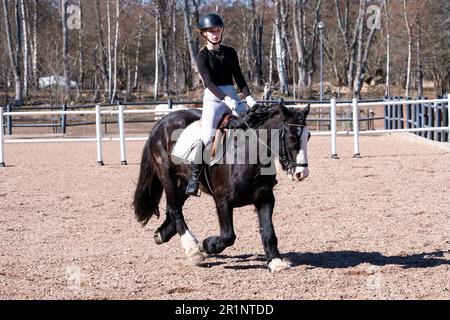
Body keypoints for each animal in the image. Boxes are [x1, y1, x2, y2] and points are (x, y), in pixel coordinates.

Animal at [132, 104, 312, 272]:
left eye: (308, 136)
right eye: (292, 136)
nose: (301, 173)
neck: (248, 156)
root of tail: (161, 122)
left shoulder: (265, 198)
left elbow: (269, 232)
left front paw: (276, 262)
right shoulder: (222, 200)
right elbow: (228, 236)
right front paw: (207, 245)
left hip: (184, 182)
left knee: (174, 207)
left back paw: (162, 235)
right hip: (167, 176)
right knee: (174, 208)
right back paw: (193, 250)